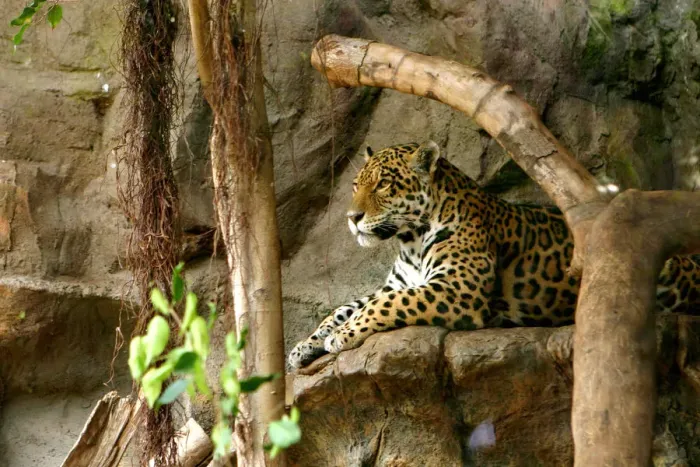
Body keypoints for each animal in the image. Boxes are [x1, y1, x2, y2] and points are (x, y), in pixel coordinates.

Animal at [288, 141, 700, 369]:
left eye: (384, 184)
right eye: (356, 185)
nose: (351, 218)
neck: (410, 240)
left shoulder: (457, 290)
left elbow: (386, 305)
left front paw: (341, 336)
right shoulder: (398, 283)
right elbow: (343, 306)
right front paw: (303, 345)